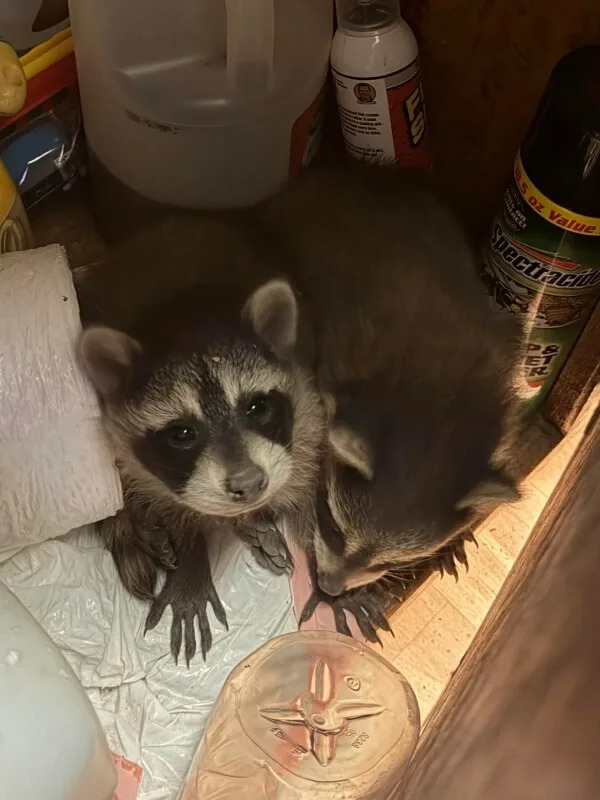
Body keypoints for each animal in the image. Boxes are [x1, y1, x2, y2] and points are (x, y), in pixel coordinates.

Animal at [77, 216, 325, 662]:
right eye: (182, 433)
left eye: (256, 407)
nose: (249, 483)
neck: (185, 310)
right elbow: (176, 507)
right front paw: (191, 551)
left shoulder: (305, 400)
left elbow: (306, 473)